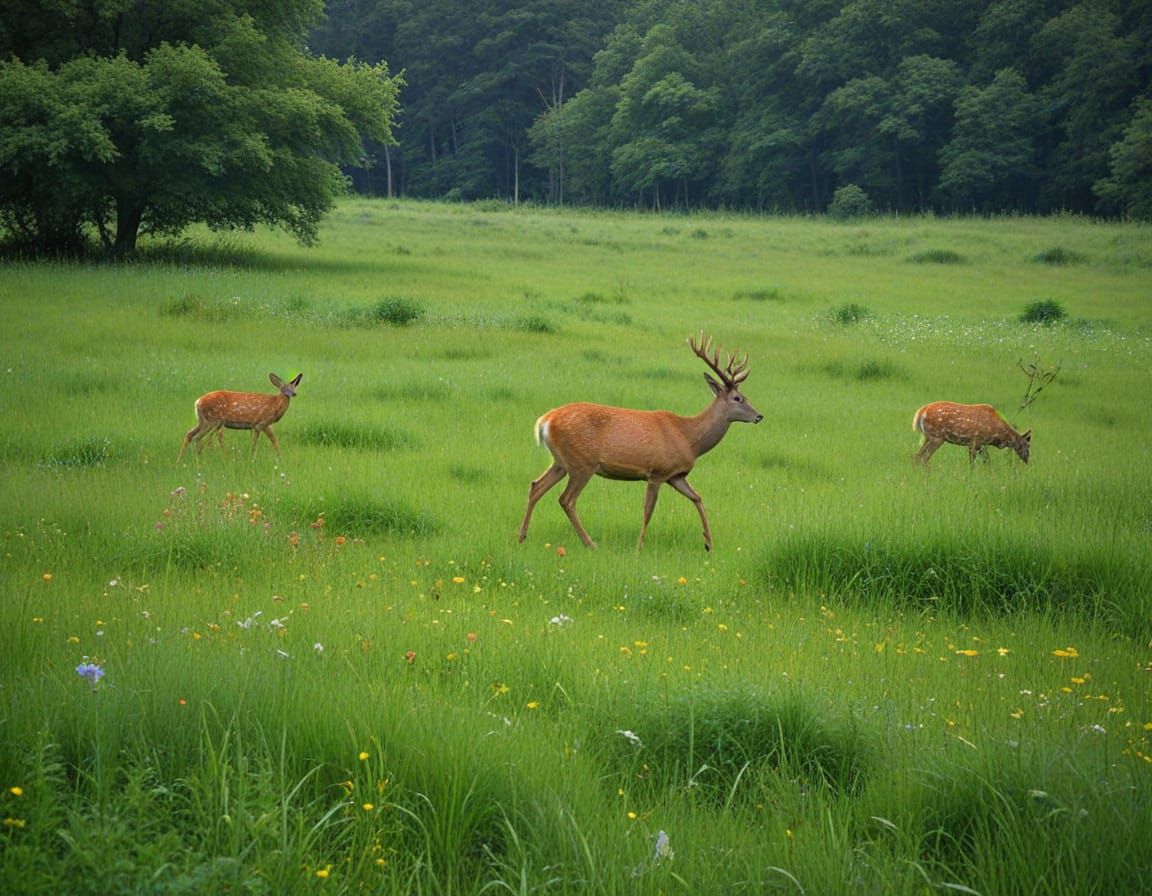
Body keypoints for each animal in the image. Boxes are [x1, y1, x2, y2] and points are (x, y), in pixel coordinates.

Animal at [517, 334, 762, 551]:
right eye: (738, 398)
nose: (759, 416)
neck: (689, 438)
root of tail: (545, 421)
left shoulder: (676, 475)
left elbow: (697, 498)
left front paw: (709, 543)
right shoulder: (657, 472)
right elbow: (648, 511)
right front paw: (639, 547)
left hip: (561, 461)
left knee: (536, 486)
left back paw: (521, 537)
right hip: (582, 463)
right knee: (566, 500)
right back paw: (590, 544)